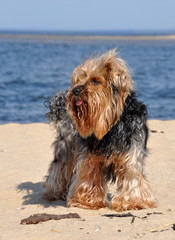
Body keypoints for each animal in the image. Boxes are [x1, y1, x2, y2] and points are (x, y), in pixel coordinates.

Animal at [43, 49, 156, 211]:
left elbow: (131, 174)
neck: (110, 126)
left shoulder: (131, 152)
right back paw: (55, 191)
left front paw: (132, 202)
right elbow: (89, 174)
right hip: (67, 144)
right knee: (60, 165)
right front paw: (86, 201)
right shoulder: (90, 154)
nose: (75, 90)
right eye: (79, 80)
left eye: (95, 81)